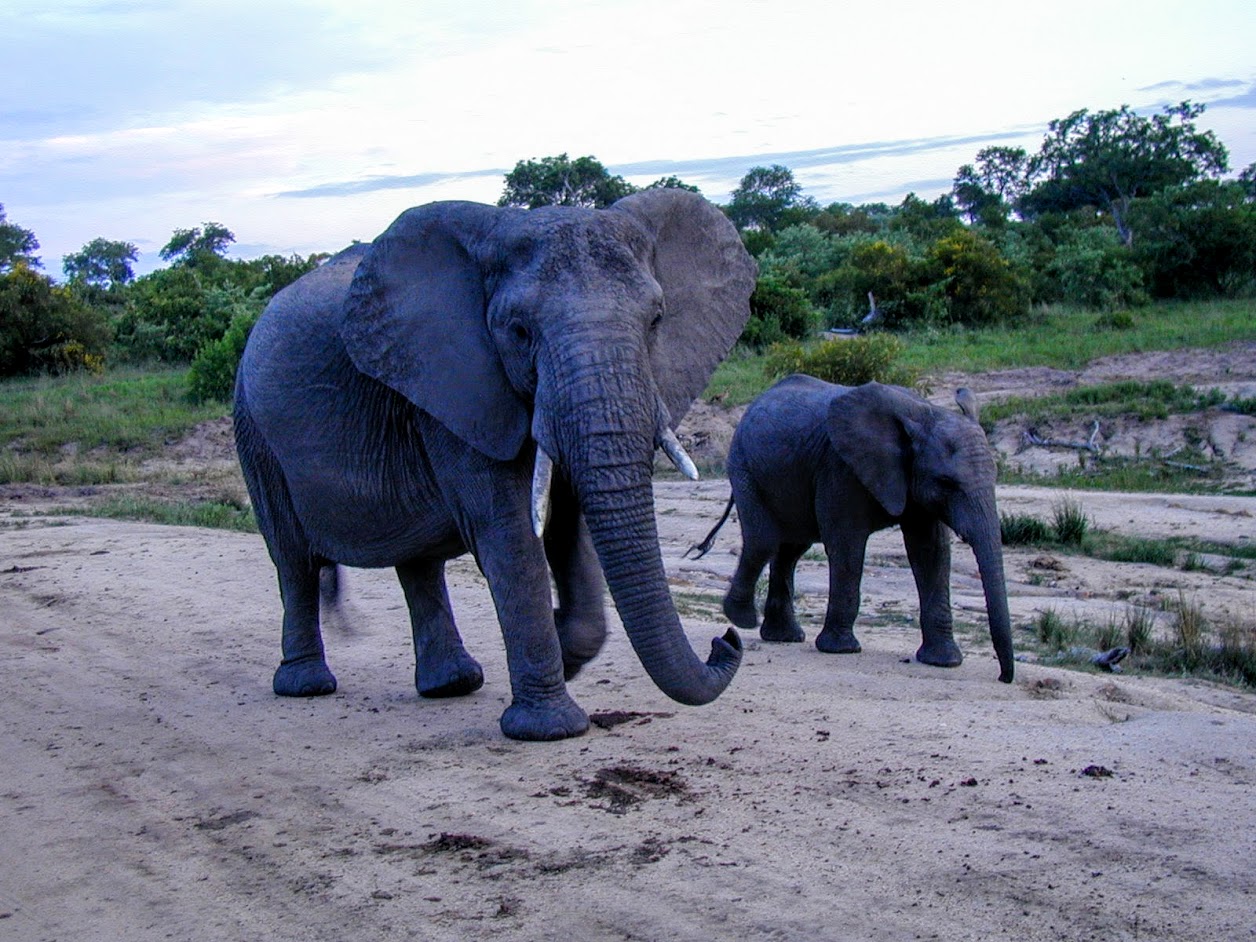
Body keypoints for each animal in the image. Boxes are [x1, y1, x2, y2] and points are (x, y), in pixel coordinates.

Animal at [236, 189, 753, 738]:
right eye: (519, 332)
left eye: (656, 320)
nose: (724, 639)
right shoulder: (455, 386)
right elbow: (511, 533)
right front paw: (550, 728)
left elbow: (570, 527)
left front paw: (566, 651)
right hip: (254, 431)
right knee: (293, 558)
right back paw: (307, 686)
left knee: (417, 563)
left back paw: (451, 685)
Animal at [693, 376, 1014, 688]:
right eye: (946, 482)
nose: (1003, 678)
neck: (925, 414)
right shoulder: (841, 467)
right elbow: (847, 544)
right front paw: (841, 649)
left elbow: (930, 553)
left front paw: (944, 662)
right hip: (745, 467)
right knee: (763, 542)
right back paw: (742, 619)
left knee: (790, 550)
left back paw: (783, 636)